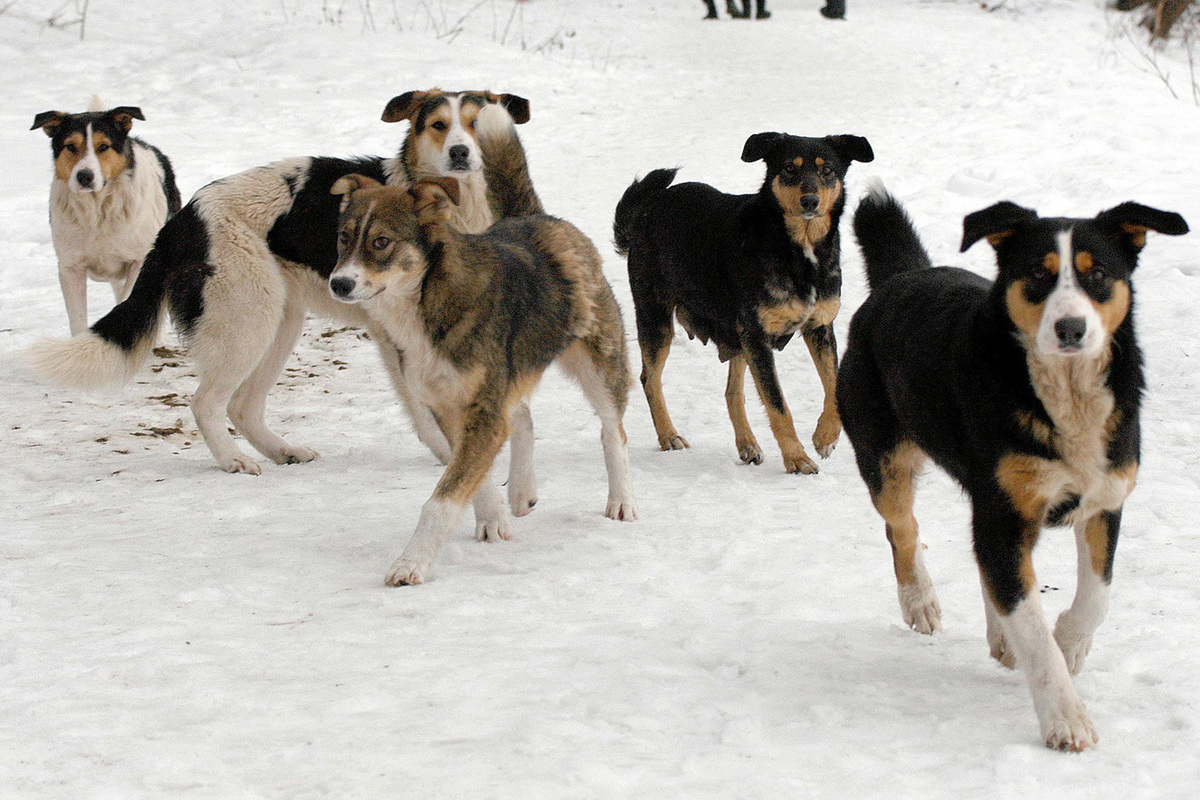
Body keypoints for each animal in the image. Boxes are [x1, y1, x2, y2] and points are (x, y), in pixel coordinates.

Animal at [32, 100, 180, 338]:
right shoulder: (70, 266)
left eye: (103, 147)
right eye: (70, 146)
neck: (97, 210)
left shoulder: (139, 259)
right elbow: (78, 318)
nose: (84, 176)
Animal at [319, 175, 638, 585]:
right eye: (344, 237)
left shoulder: (483, 411)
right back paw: (520, 490)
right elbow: (473, 474)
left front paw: (410, 563)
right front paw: (492, 518)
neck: (423, 305)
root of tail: (542, 218)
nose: (339, 284)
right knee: (522, 416)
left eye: (381, 241)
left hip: (599, 362)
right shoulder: (447, 406)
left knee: (612, 430)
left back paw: (621, 500)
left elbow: (442, 499)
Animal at [614, 131, 878, 474]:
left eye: (827, 170)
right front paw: (797, 458)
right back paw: (669, 435)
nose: (810, 201)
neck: (798, 250)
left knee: (732, 393)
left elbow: (832, 386)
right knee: (650, 379)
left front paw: (825, 437)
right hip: (656, 315)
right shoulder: (757, 336)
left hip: (734, 332)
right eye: (789, 168)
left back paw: (748, 445)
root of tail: (647, 208)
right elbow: (778, 404)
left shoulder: (819, 327)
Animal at [840, 184, 1185, 753]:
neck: (1065, 399)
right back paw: (920, 602)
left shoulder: (1104, 498)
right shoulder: (1005, 510)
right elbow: (1032, 629)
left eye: (1097, 274)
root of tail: (902, 276)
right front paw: (1065, 717)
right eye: (1039, 275)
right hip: (883, 453)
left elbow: (1097, 596)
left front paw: (1070, 643)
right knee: (903, 529)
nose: (1071, 327)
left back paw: (1000, 635)